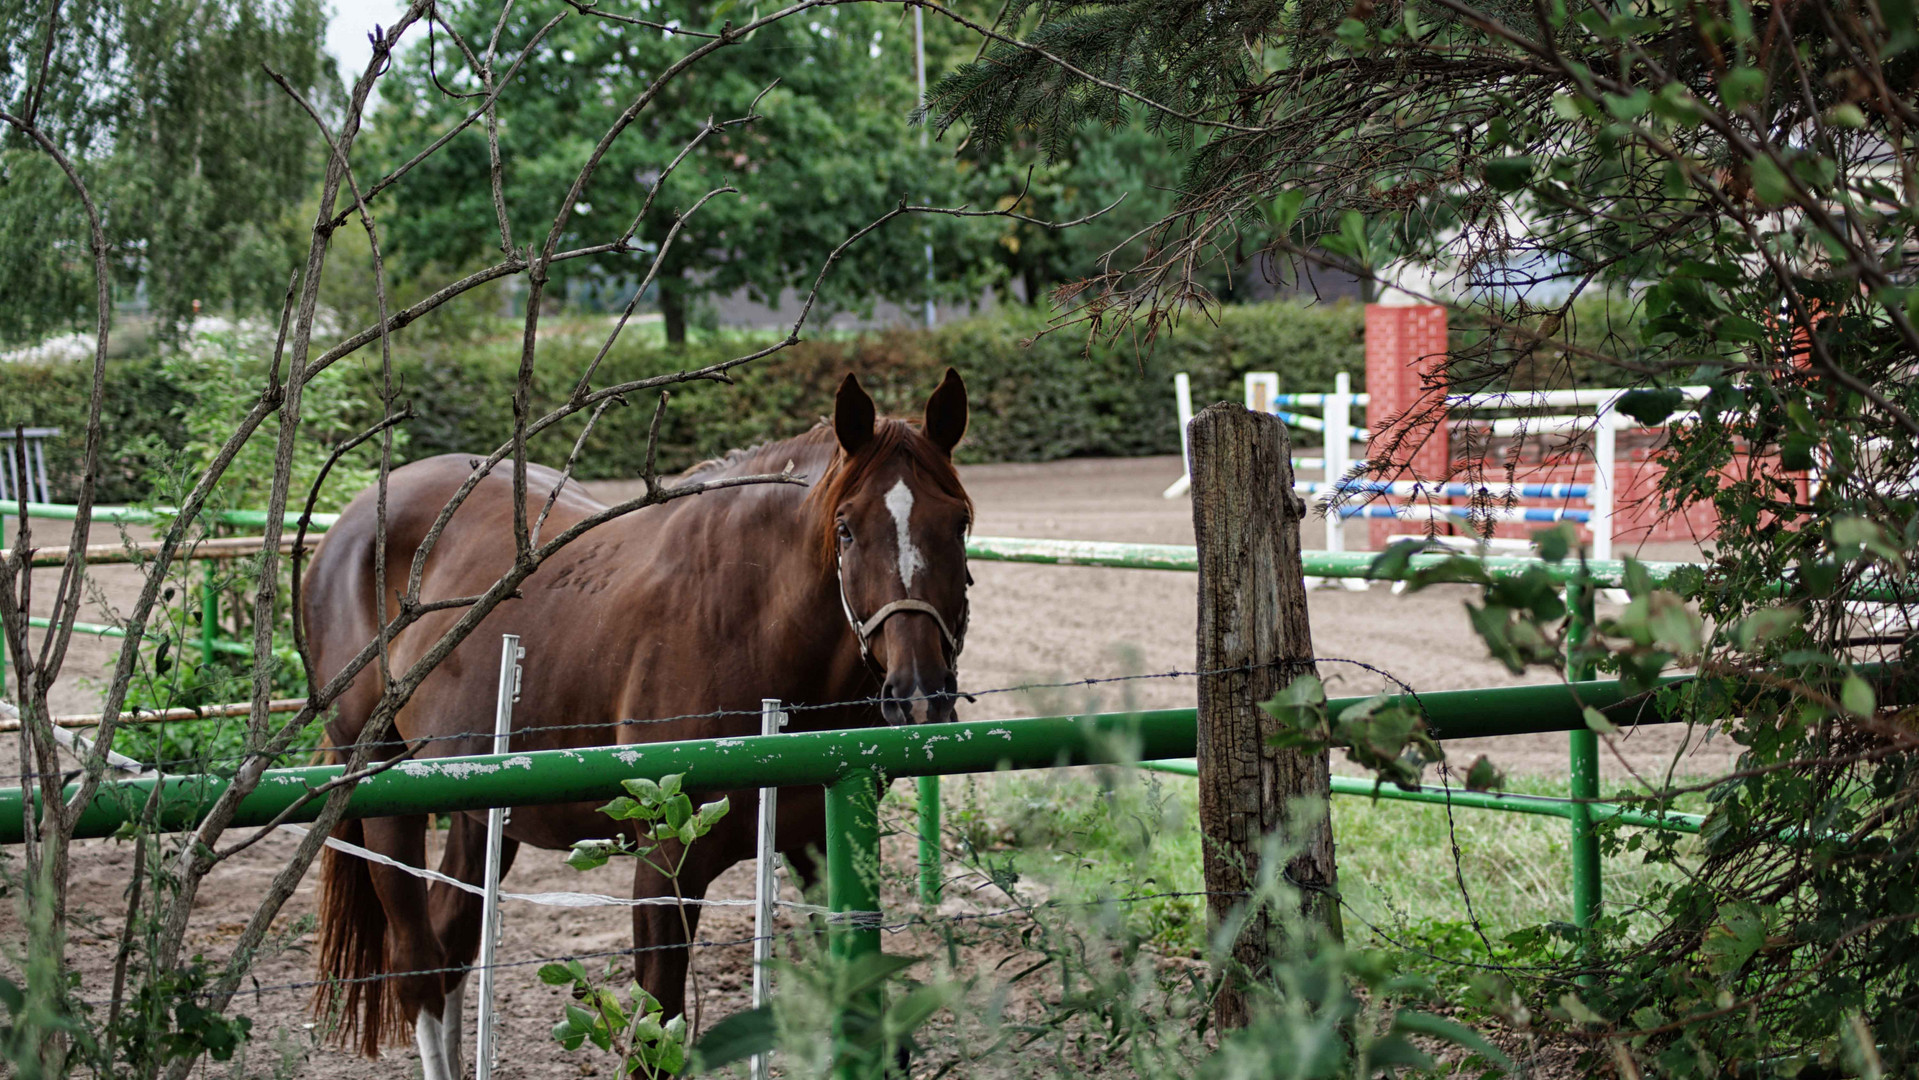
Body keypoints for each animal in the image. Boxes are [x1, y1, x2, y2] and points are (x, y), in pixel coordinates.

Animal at [312, 374, 974, 1080]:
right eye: (845, 529)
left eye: (958, 522)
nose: (919, 693)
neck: (749, 624)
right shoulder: (664, 870)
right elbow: (655, 1040)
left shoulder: (820, 848)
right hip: (381, 796)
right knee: (418, 971)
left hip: (479, 811)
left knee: (452, 948)